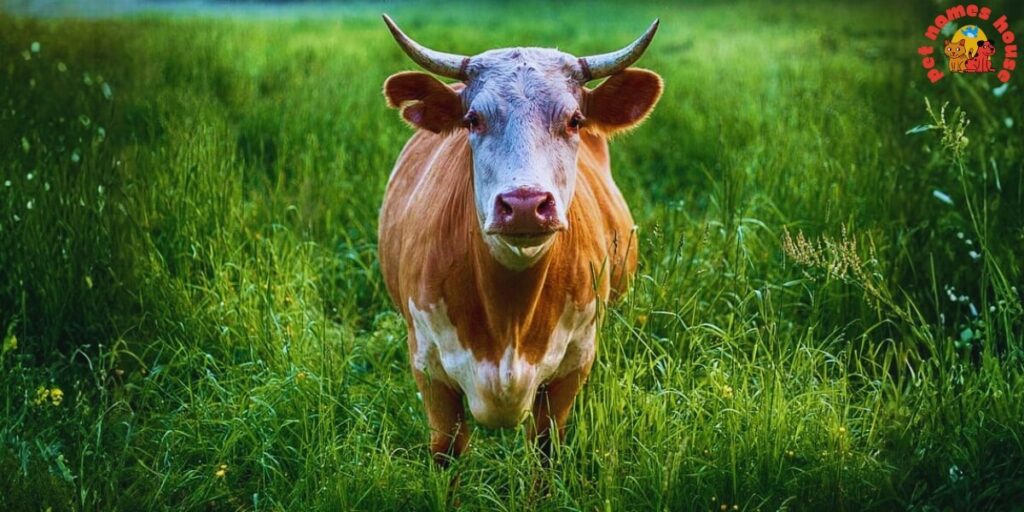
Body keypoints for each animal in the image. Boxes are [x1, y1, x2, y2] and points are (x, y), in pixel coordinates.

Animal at [378, 14, 662, 466]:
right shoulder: (428, 370)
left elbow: (545, 449)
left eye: (574, 120)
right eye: (472, 120)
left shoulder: (573, 366)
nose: (525, 204)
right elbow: (447, 452)